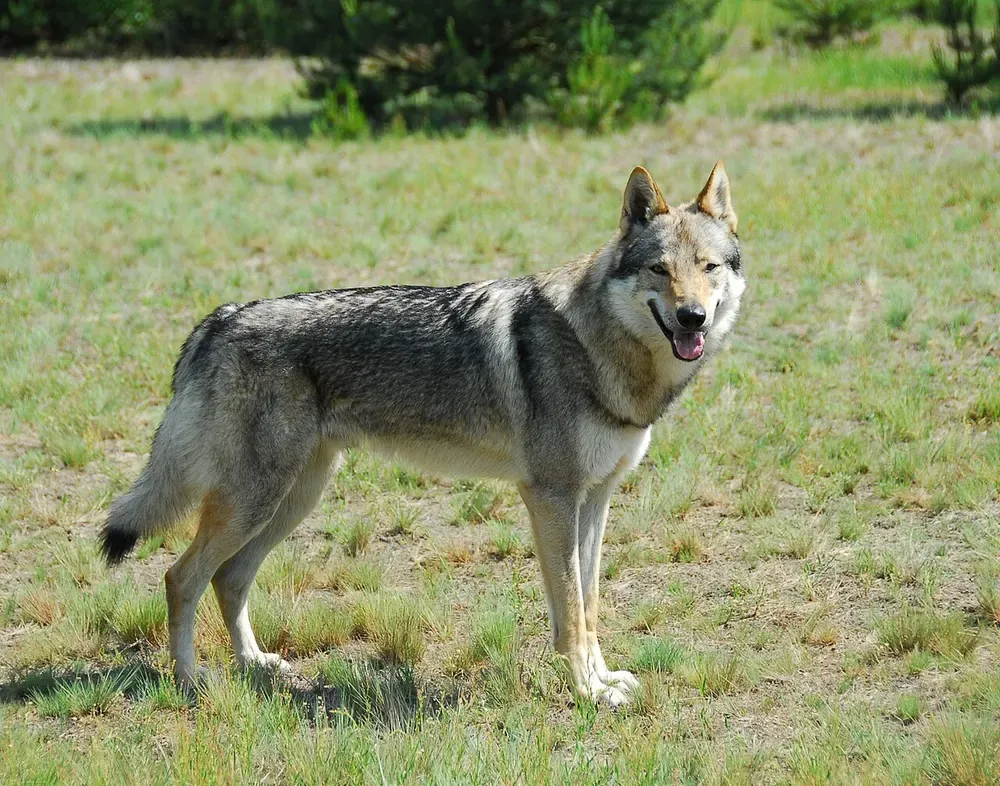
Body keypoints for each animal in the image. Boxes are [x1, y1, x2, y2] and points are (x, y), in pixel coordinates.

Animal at [100, 162, 744, 707]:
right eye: (660, 269)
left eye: (709, 268)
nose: (692, 318)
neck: (600, 347)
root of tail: (221, 317)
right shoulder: (552, 498)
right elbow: (571, 609)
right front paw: (588, 692)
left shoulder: (595, 499)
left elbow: (587, 604)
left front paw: (603, 679)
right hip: (255, 501)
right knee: (181, 577)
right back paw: (190, 683)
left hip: (292, 498)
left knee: (229, 578)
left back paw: (255, 665)